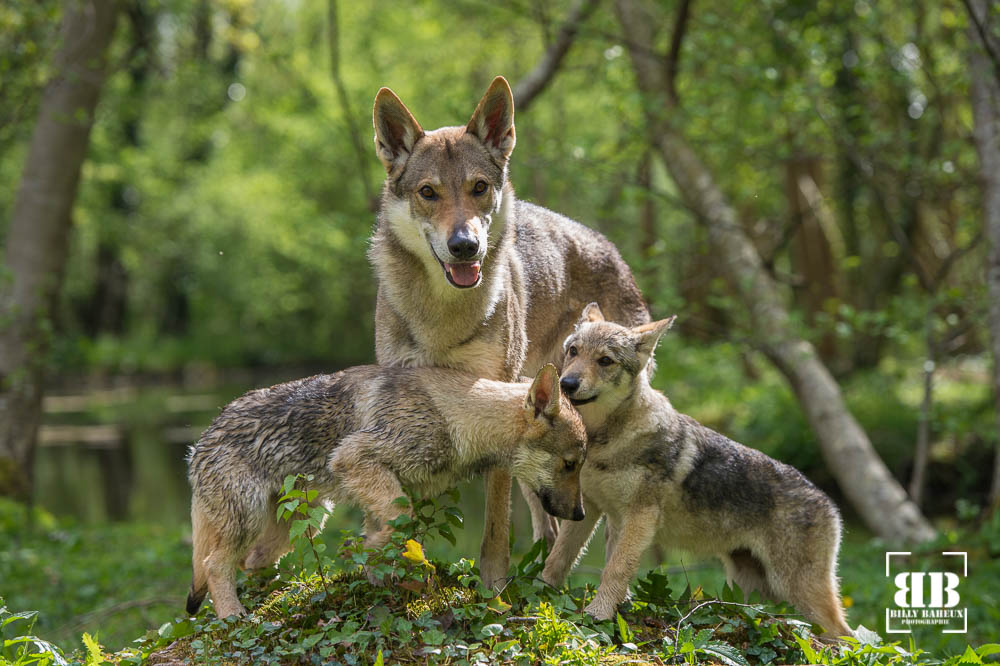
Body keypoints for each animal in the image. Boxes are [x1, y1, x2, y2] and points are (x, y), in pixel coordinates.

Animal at [187, 364, 584, 616]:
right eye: (570, 464)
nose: (580, 515)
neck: (458, 418)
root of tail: (203, 438)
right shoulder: (355, 458)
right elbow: (399, 524)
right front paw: (367, 553)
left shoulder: (394, 488)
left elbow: (397, 537)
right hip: (250, 519)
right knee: (214, 565)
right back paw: (233, 615)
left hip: (302, 523)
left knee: (249, 563)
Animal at [540, 304, 852, 636]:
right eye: (574, 351)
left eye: (605, 361)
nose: (566, 384)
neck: (605, 439)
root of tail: (827, 500)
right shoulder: (592, 508)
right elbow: (558, 558)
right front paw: (537, 593)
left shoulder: (640, 517)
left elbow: (615, 570)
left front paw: (598, 615)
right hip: (755, 588)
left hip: (799, 592)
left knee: (848, 636)